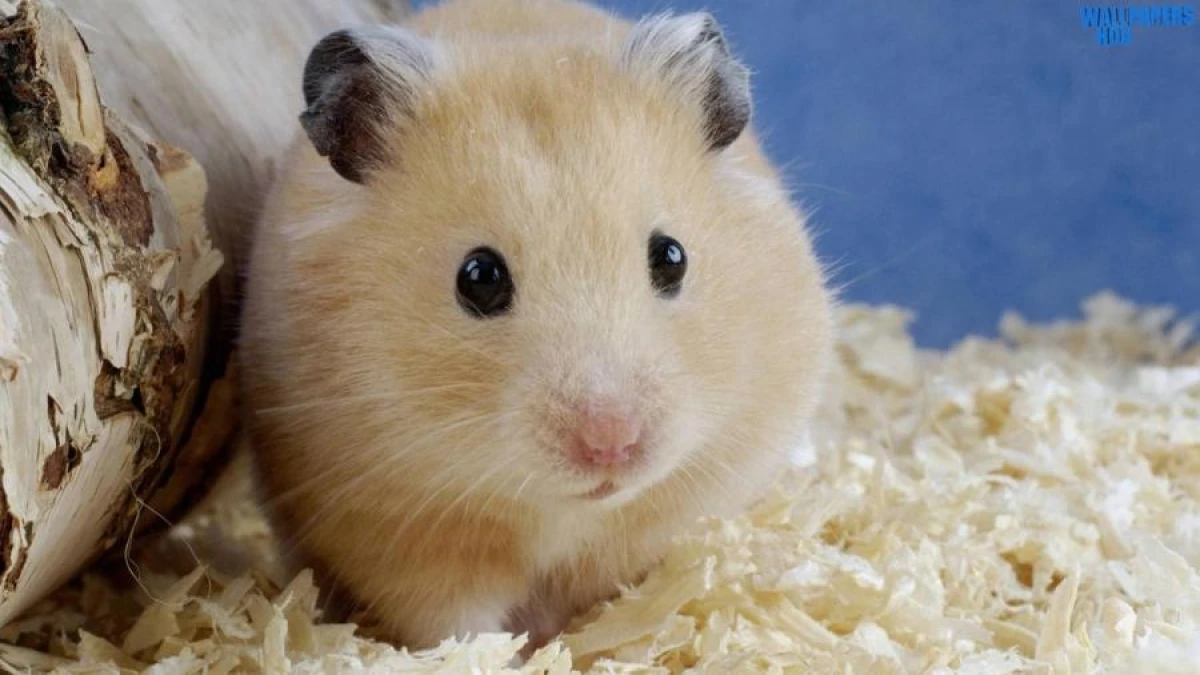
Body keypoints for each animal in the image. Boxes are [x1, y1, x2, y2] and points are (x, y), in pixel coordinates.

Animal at [239, 0, 835, 654]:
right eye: (478, 277)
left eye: (672, 257)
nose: (612, 445)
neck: (559, 508)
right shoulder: (396, 530)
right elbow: (454, 621)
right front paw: (510, 655)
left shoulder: (668, 512)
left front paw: (572, 644)